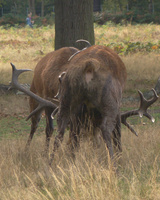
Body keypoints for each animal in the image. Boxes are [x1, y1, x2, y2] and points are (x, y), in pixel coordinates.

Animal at [10, 43, 158, 166]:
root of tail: (89, 65)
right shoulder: (117, 106)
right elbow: (117, 135)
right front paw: (120, 159)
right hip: (109, 100)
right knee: (106, 129)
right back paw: (114, 166)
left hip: (67, 98)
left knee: (60, 131)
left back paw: (50, 165)